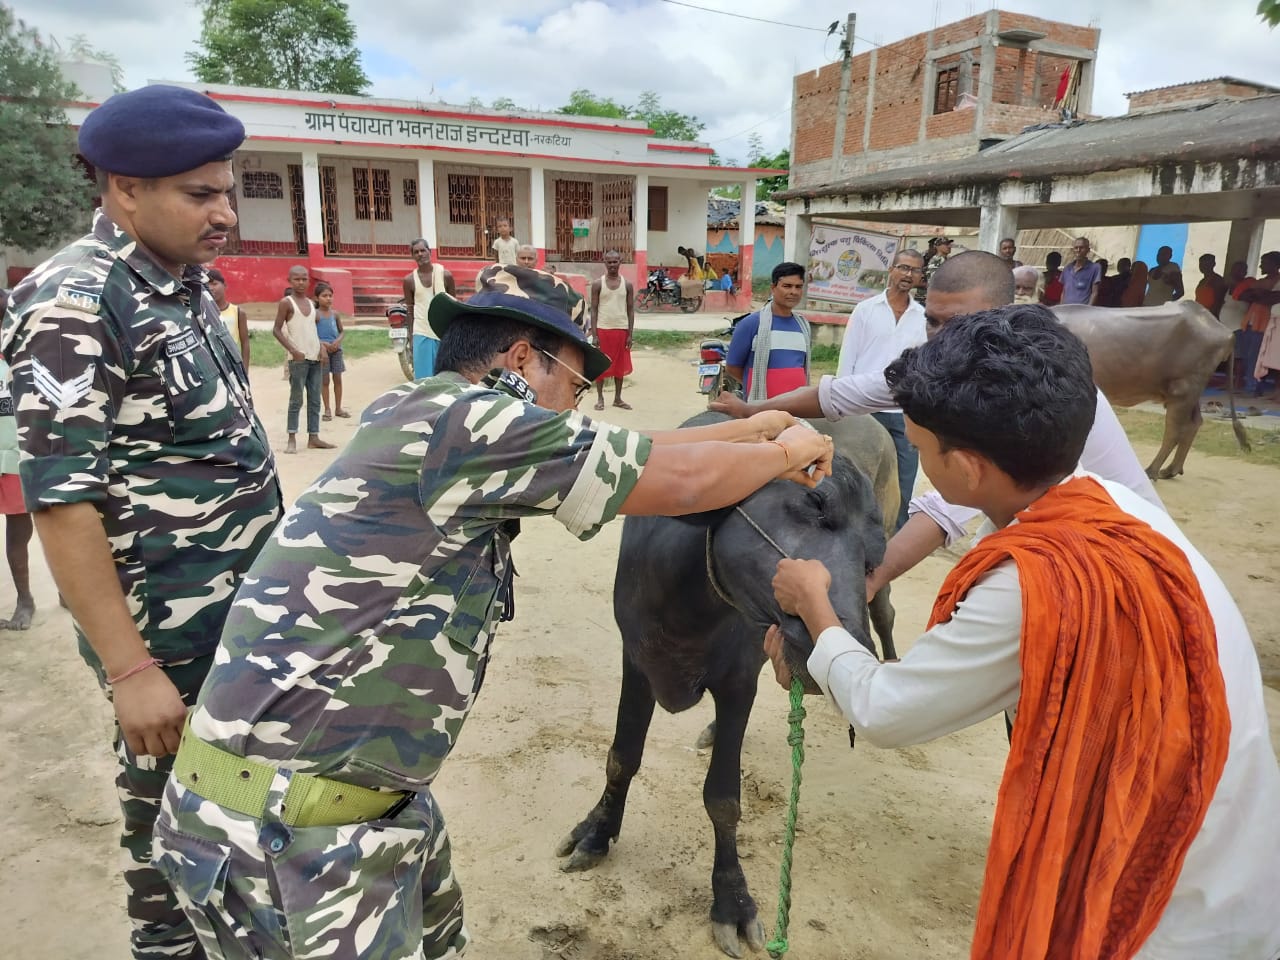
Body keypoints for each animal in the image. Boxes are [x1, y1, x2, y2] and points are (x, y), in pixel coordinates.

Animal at [1049, 302, 1249, 478]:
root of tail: (1225, 331)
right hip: (1189, 393)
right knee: (1194, 423)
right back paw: (1171, 470)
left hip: (1182, 392)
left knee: (1174, 432)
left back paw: (1152, 471)